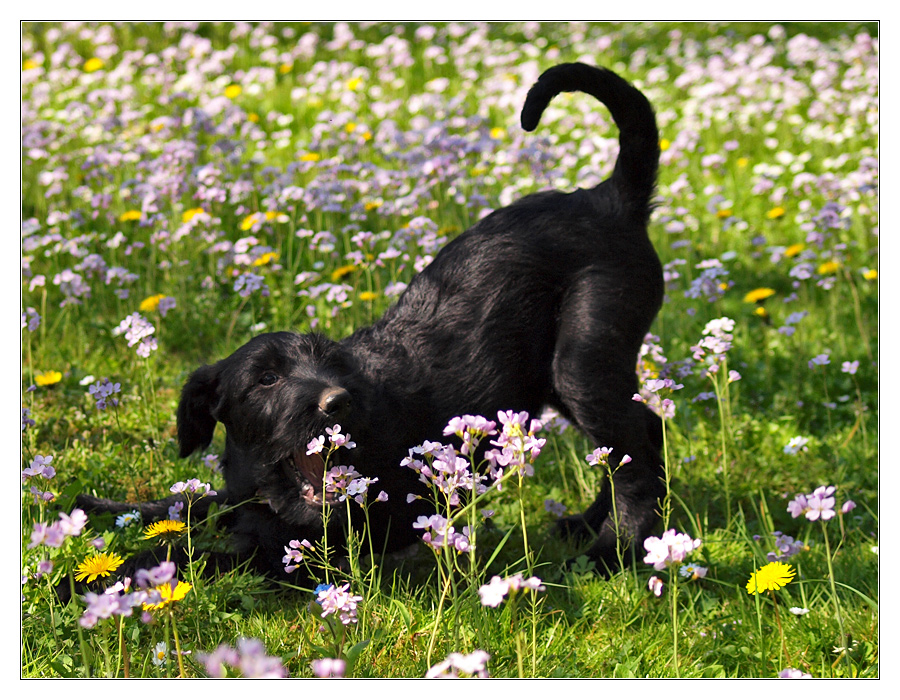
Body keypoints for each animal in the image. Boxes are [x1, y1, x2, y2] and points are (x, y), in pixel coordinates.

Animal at [79, 64, 668, 580]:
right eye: (266, 379)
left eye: (333, 367)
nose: (336, 402)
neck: (269, 487)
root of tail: (611, 198)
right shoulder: (239, 500)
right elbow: (185, 502)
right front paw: (96, 504)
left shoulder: (284, 551)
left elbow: (180, 556)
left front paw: (87, 582)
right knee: (631, 440)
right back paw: (587, 526)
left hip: (582, 359)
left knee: (635, 450)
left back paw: (612, 552)